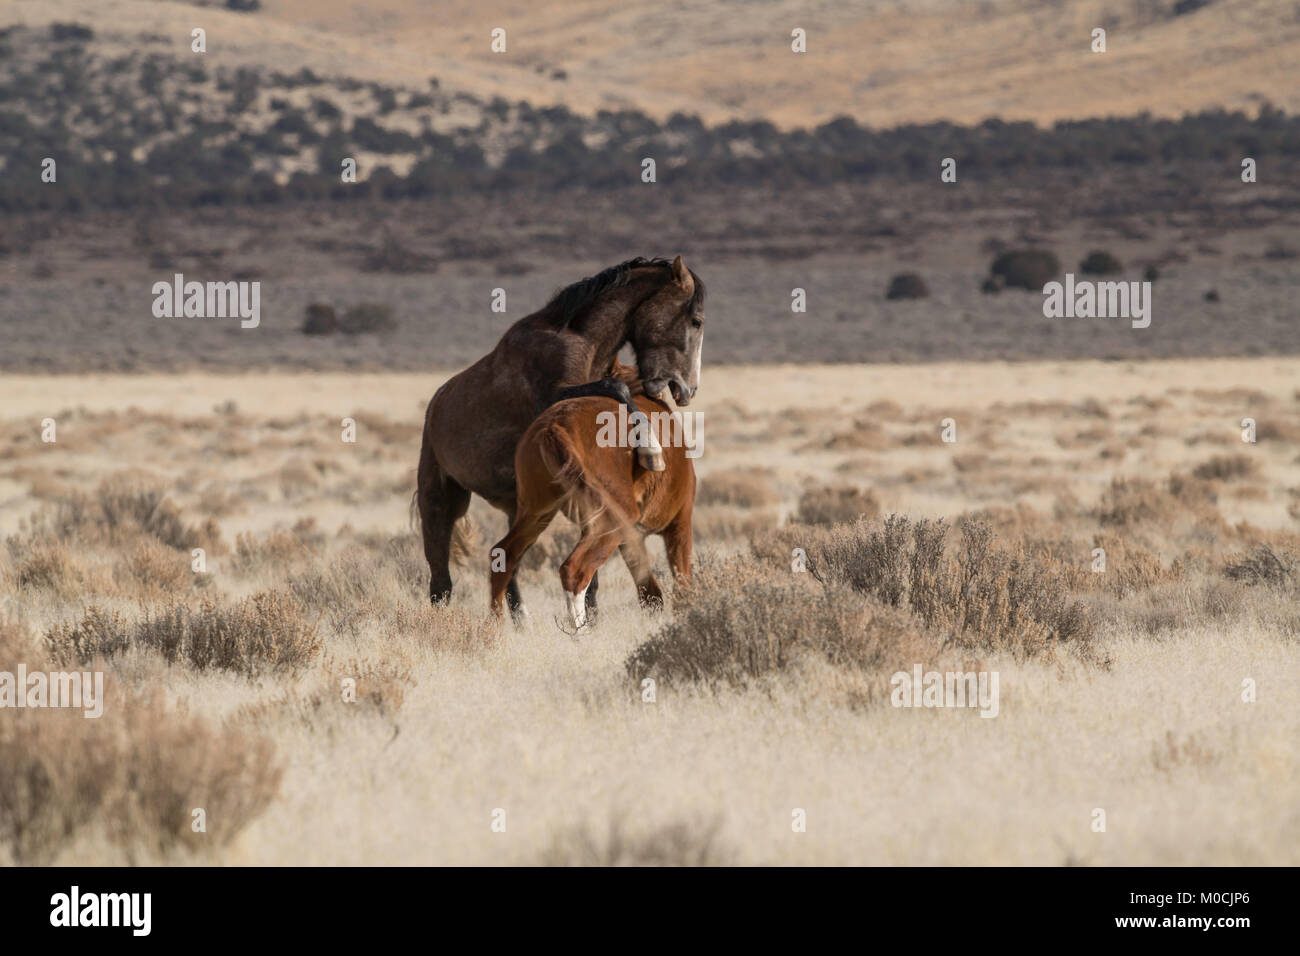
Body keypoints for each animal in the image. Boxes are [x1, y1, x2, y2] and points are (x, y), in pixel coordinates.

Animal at [488, 380, 695, 629]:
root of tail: (553, 427)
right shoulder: (679, 525)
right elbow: (681, 590)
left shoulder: (631, 538)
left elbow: (650, 595)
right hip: (612, 520)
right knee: (574, 570)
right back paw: (580, 633)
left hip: (537, 513)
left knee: (503, 555)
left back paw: (493, 630)